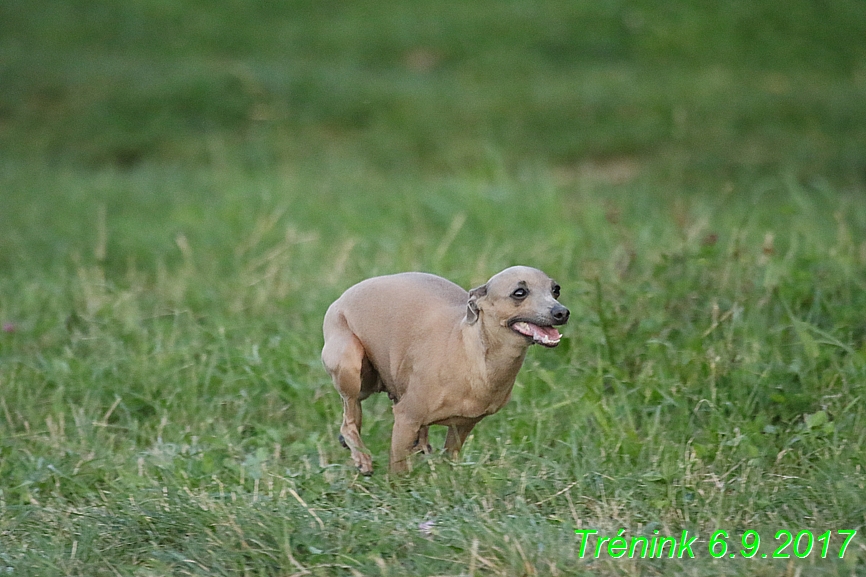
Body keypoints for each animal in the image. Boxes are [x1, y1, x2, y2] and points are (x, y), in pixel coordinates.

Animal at [318, 266, 568, 472]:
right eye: (519, 292)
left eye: (555, 289)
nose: (562, 312)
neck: (472, 356)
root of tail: (340, 299)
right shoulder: (406, 417)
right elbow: (398, 470)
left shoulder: (464, 425)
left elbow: (449, 457)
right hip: (350, 365)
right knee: (348, 422)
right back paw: (361, 457)